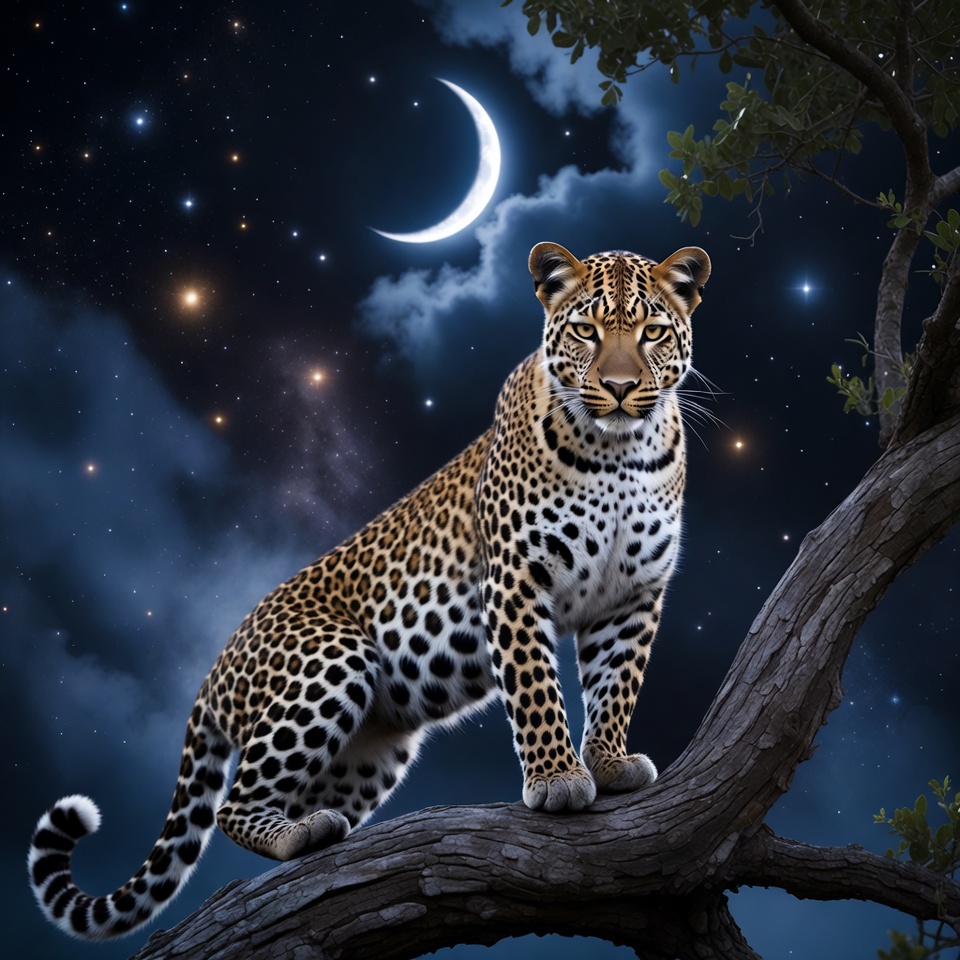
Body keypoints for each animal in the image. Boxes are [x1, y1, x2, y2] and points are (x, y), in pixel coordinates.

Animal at [28, 240, 711, 941]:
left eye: (653, 333)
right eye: (586, 331)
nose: (622, 388)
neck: (620, 454)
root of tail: (215, 671)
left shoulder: (632, 596)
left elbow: (616, 684)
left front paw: (608, 762)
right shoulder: (516, 580)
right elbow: (535, 686)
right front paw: (558, 781)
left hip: (370, 753)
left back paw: (319, 834)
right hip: (333, 660)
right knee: (232, 803)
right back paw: (298, 836)